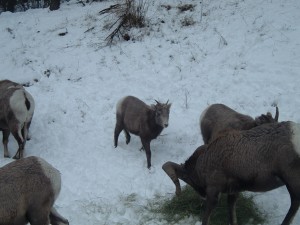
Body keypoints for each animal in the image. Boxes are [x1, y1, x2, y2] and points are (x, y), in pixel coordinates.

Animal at [163, 121, 300, 225]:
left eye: (187, 178)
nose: (202, 194)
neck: (203, 162)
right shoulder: (233, 191)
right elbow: (232, 214)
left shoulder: (213, 192)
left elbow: (206, 219)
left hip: (292, 182)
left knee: (294, 204)